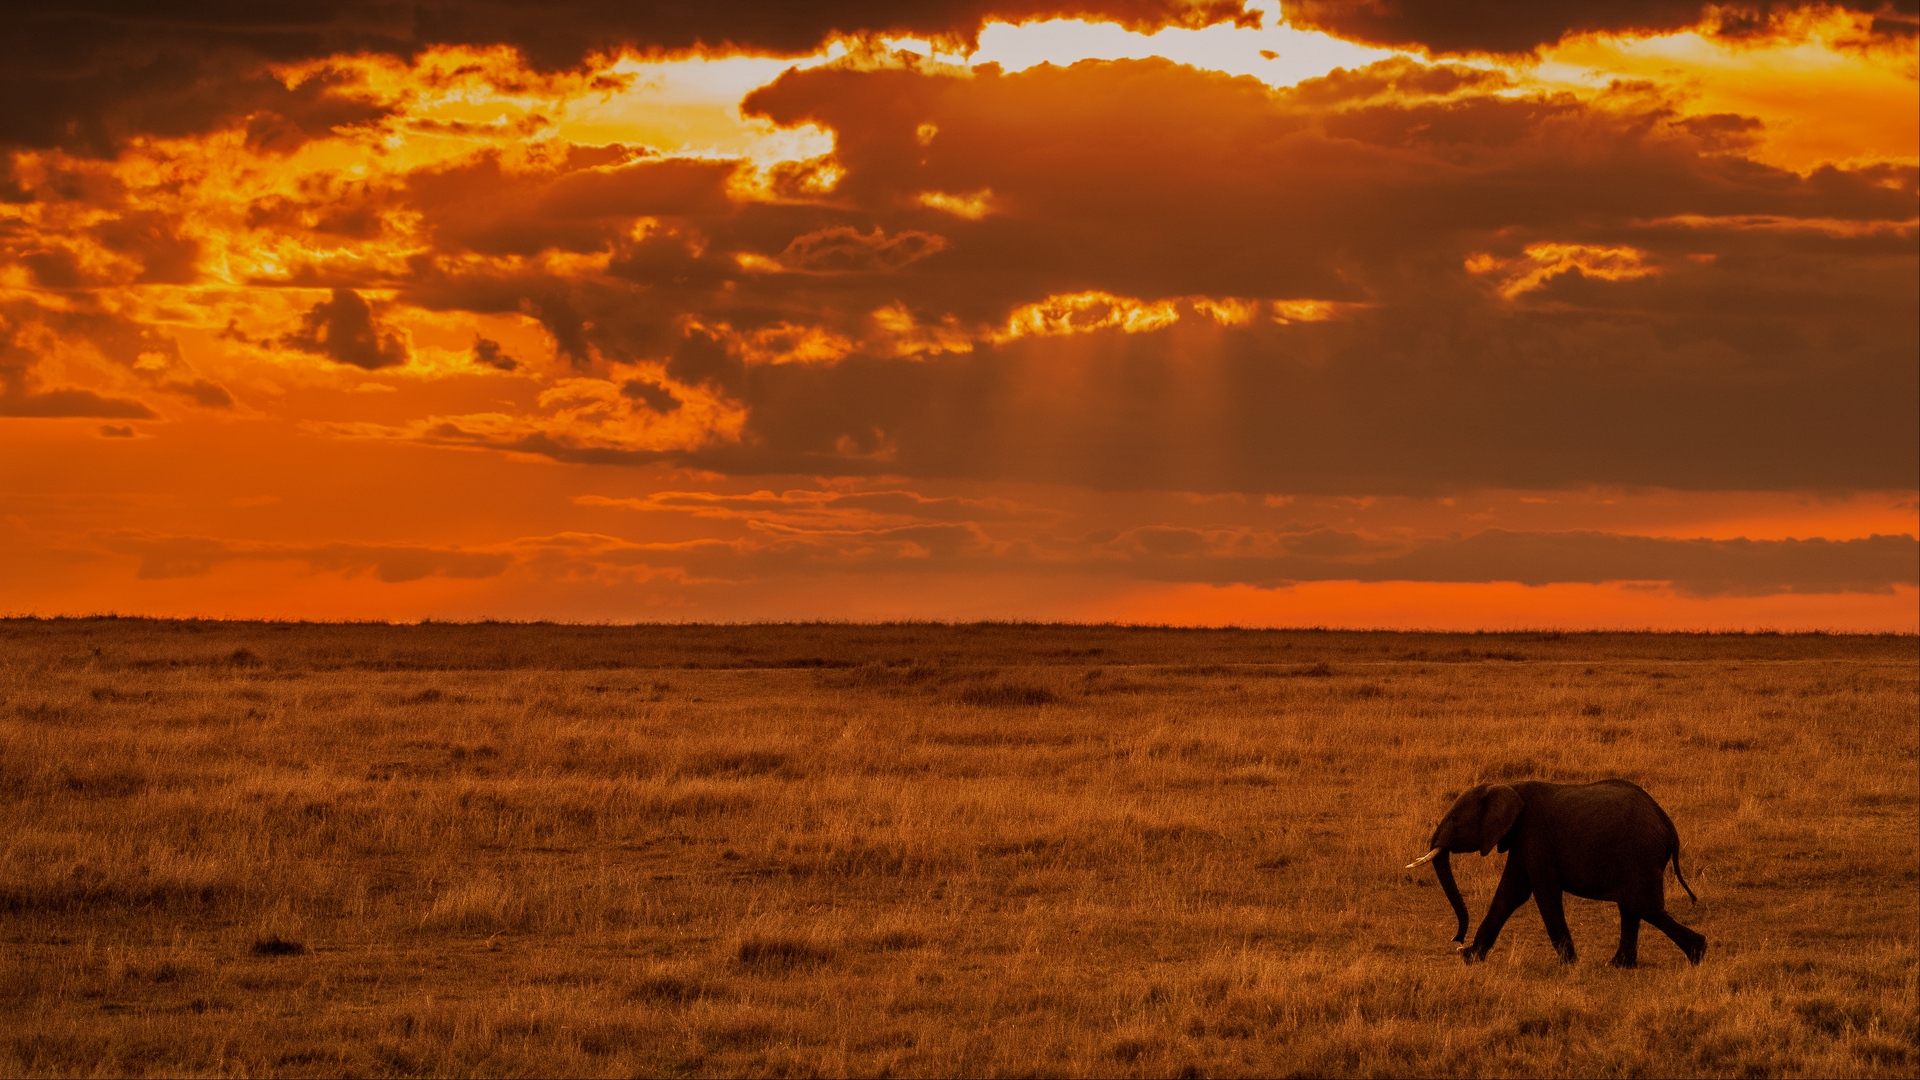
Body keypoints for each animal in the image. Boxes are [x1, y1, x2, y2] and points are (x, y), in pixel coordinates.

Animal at [1407, 779, 1705, 967]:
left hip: (1640, 855)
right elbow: (1509, 894)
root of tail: (1670, 829)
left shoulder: (1534, 833)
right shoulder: (1521, 840)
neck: (1508, 786)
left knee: (1642, 906)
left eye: (1456, 820)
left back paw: (1698, 952)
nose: (1456, 940)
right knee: (1632, 908)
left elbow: (1543, 893)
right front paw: (1469, 957)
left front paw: (1569, 964)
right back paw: (1618, 964)